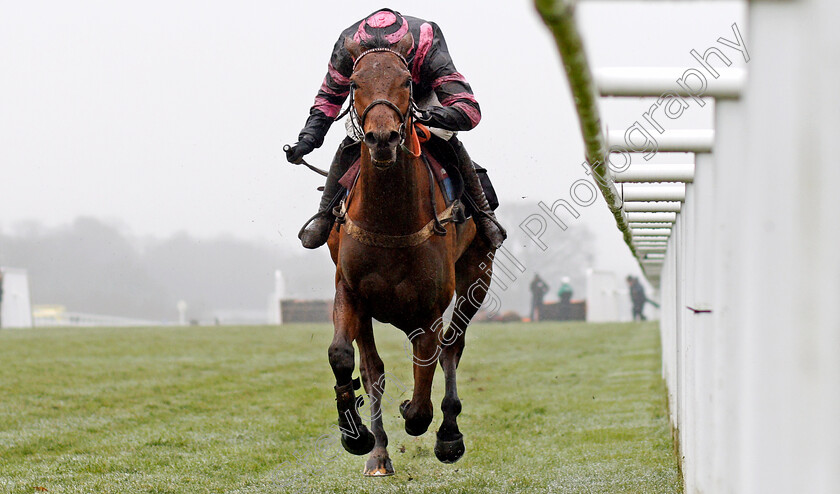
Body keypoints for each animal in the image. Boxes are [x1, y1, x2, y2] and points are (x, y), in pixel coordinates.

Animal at [320, 31, 492, 478]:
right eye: (354, 83)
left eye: (407, 81)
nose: (383, 138)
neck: (390, 220)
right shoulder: (350, 291)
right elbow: (345, 357)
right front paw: (356, 436)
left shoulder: (429, 307)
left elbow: (421, 394)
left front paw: (427, 422)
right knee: (373, 369)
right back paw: (379, 453)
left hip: (477, 275)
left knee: (452, 347)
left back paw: (449, 434)